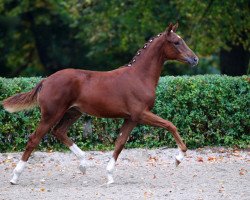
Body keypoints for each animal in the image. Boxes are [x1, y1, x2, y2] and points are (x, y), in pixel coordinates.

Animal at [1, 23, 197, 184]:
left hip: (73, 112)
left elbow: (120, 143)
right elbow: (170, 125)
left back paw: (83, 164)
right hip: (51, 114)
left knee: (59, 132)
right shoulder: (141, 114)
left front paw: (109, 176)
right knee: (34, 139)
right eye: (176, 42)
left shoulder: (131, 118)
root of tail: (45, 81)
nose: (195, 59)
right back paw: (15, 177)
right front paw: (179, 158)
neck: (139, 76)